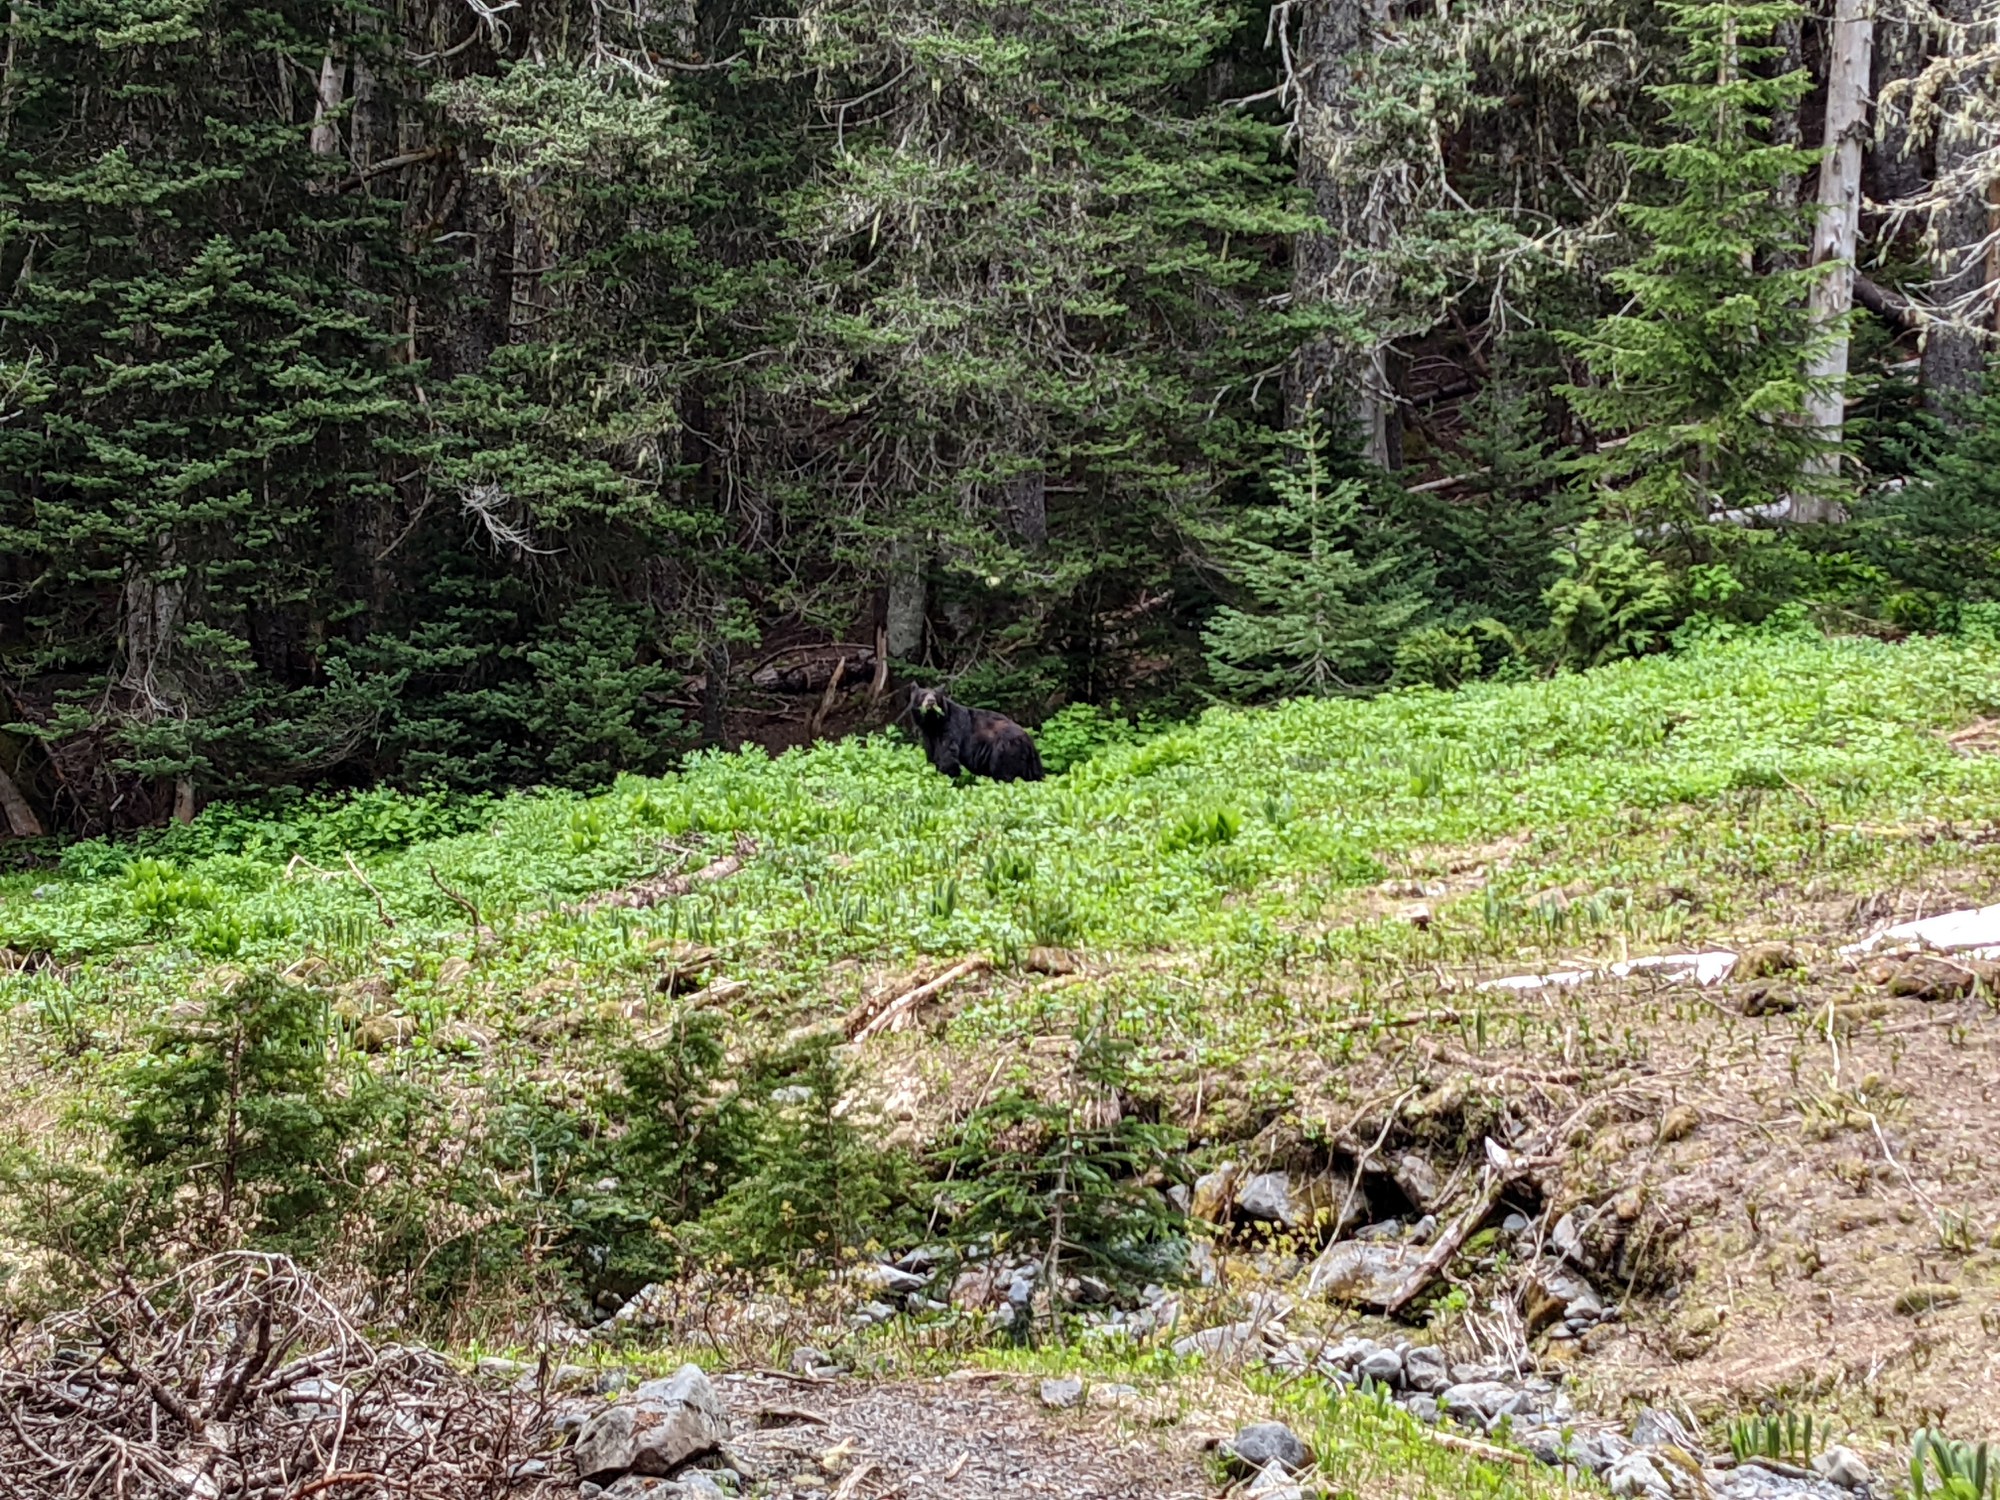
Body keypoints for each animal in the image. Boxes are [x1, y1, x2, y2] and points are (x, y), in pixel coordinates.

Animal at [912, 687, 1045, 783]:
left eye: (935, 695)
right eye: (922, 695)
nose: (931, 701)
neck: (934, 723)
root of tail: (1027, 738)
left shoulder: (950, 730)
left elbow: (948, 759)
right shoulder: (929, 737)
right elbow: (932, 756)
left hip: (1005, 753)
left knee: (1004, 775)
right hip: (1030, 762)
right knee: (1034, 775)